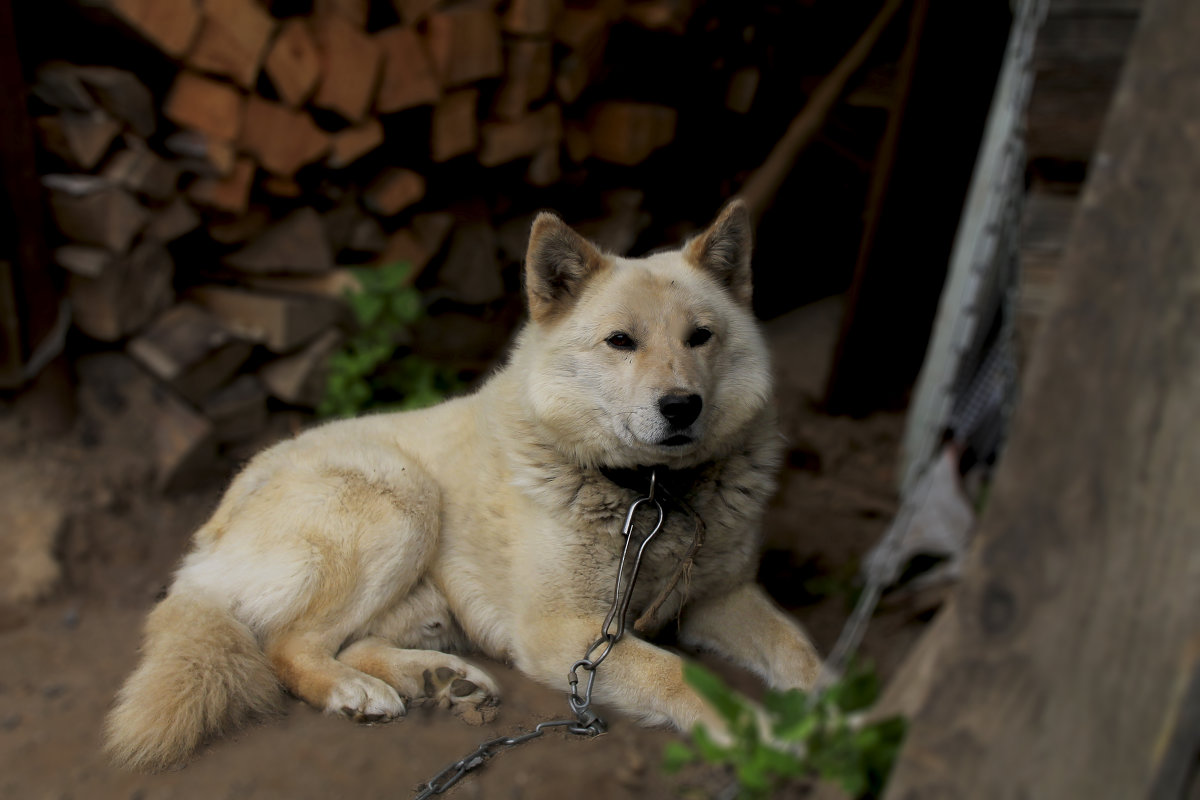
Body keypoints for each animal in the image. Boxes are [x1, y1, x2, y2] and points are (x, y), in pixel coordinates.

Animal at [103, 196, 820, 772]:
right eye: (621, 341)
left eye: (701, 337)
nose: (681, 407)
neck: (652, 494)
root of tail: (208, 539)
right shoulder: (566, 633)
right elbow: (680, 673)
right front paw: (759, 735)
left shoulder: (720, 597)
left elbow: (800, 654)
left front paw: (836, 715)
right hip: (404, 500)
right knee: (290, 645)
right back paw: (356, 692)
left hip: (428, 599)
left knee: (354, 642)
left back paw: (439, 680)